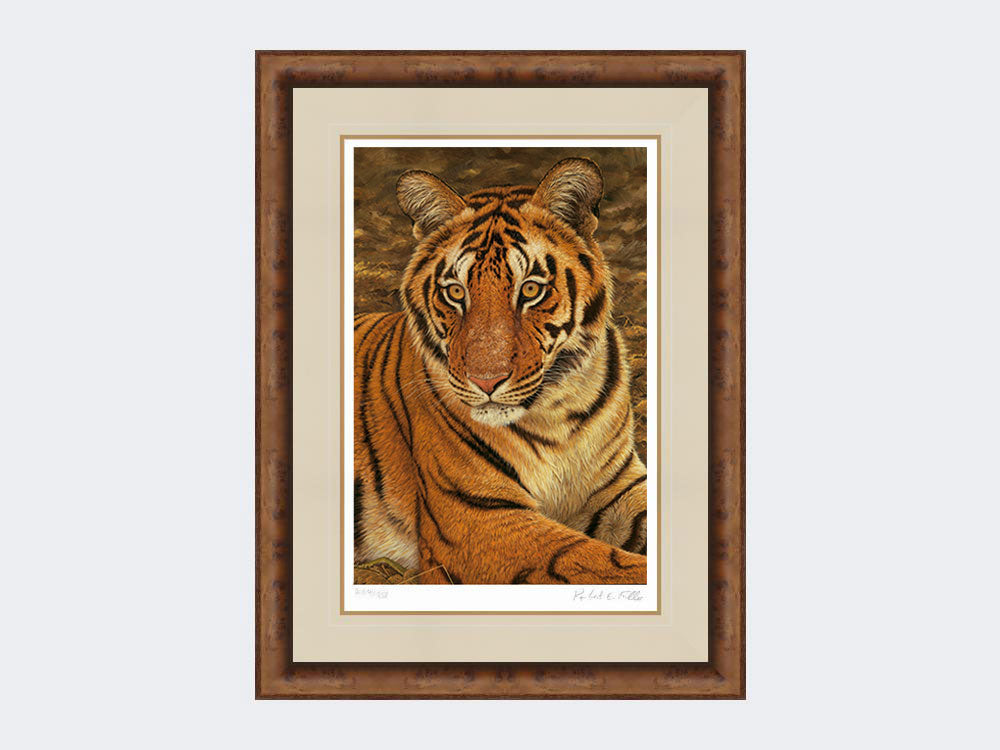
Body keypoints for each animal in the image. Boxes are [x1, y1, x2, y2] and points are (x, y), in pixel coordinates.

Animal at [354, 157, 648, 585]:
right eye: (455, 292)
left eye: (531, 290)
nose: (486, 381)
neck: (557, 412)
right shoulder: (479, 516)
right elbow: (598, 563)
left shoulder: (621, 485)